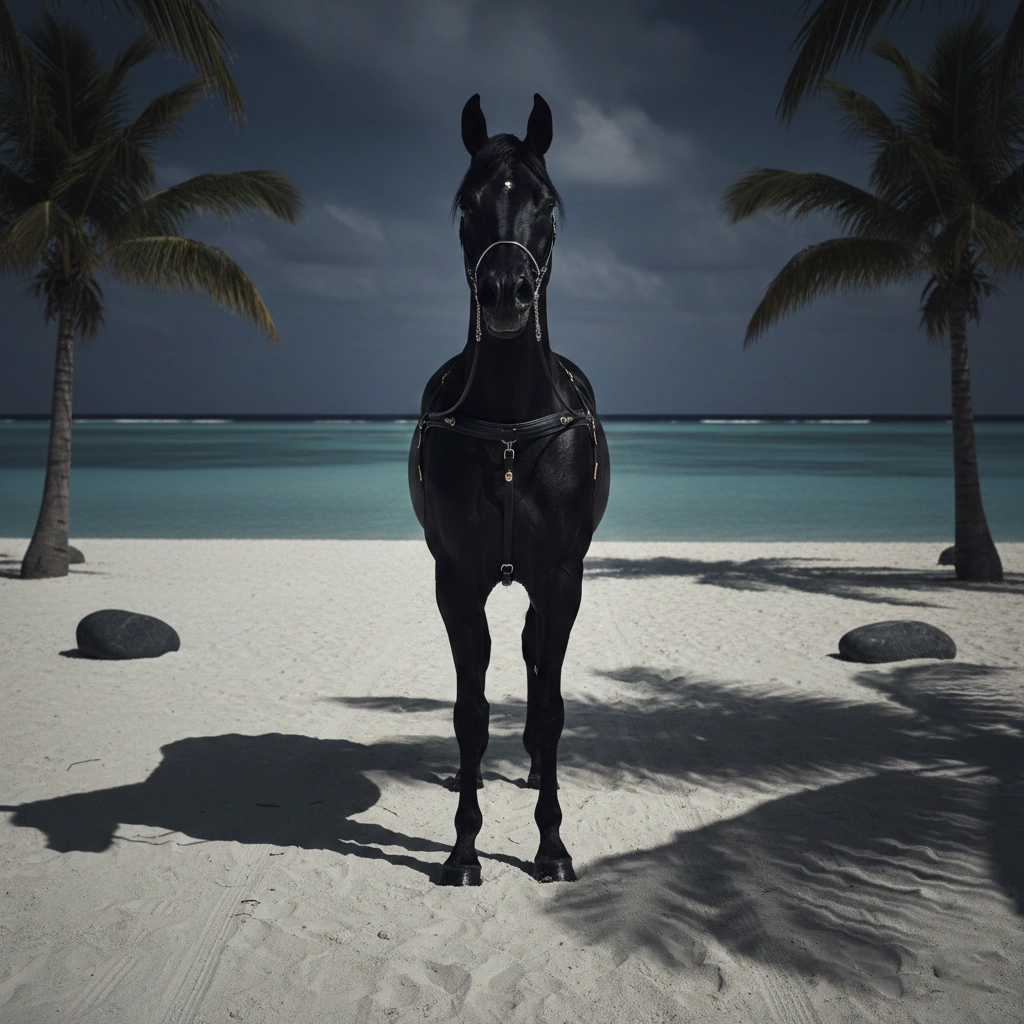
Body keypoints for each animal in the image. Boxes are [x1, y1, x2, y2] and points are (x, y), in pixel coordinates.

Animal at [408, 93, 611, 886]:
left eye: (546, 202)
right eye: (467, 204)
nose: (504, 294)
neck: (508, 433)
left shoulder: (561, 577)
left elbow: (551, 706)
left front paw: (551, 844)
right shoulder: (456, 580)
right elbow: (468, 709)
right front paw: (464, 848)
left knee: (531, 655)